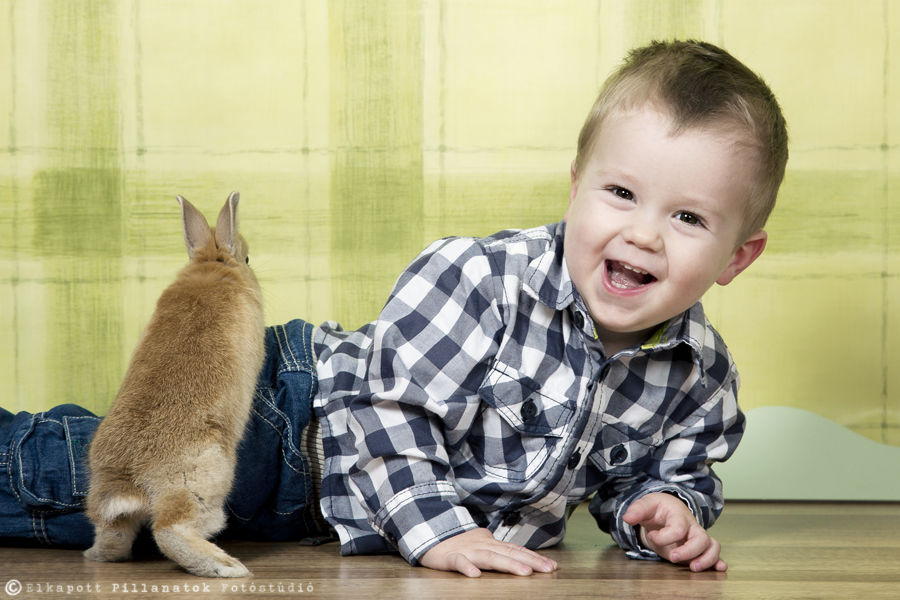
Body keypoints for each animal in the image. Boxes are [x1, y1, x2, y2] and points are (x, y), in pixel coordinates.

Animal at [82, 192, 266, 576]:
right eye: (246, 258)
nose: (247, 264)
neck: (211, 263)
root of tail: (131, 480)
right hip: (201, 484)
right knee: (170, 530)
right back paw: (226, 567)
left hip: (106, 502)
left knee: (113, 537)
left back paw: (93, 555)